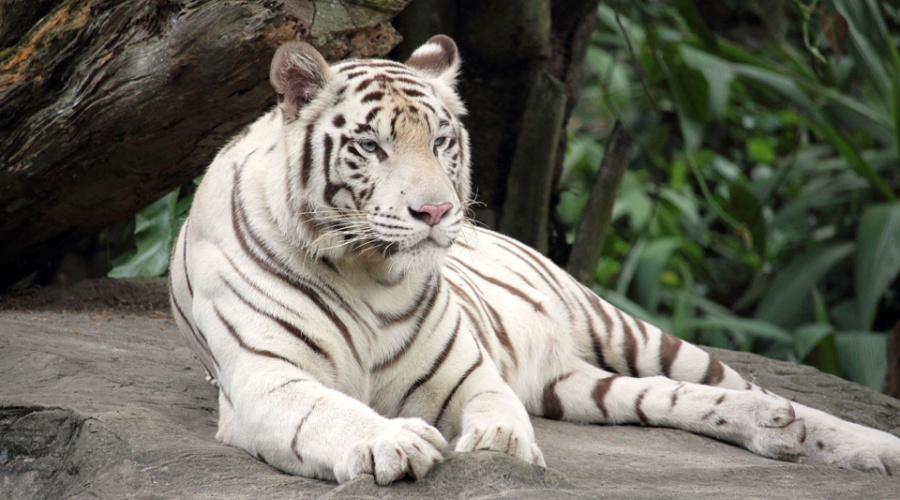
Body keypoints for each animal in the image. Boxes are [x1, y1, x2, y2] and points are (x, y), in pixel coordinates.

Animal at [169, 36, 900, 484]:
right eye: (372, 147)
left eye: (441, 141)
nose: (435, 213)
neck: (368, 272)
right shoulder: (266, 379)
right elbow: (329, 412)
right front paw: (393, 442)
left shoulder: (464, 372)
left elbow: (494, 406)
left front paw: (501, 447)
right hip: (577, 385)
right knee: (674, 399)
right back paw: (776, 433)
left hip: (626, 331)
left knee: (756, 389)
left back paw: (855, 443)